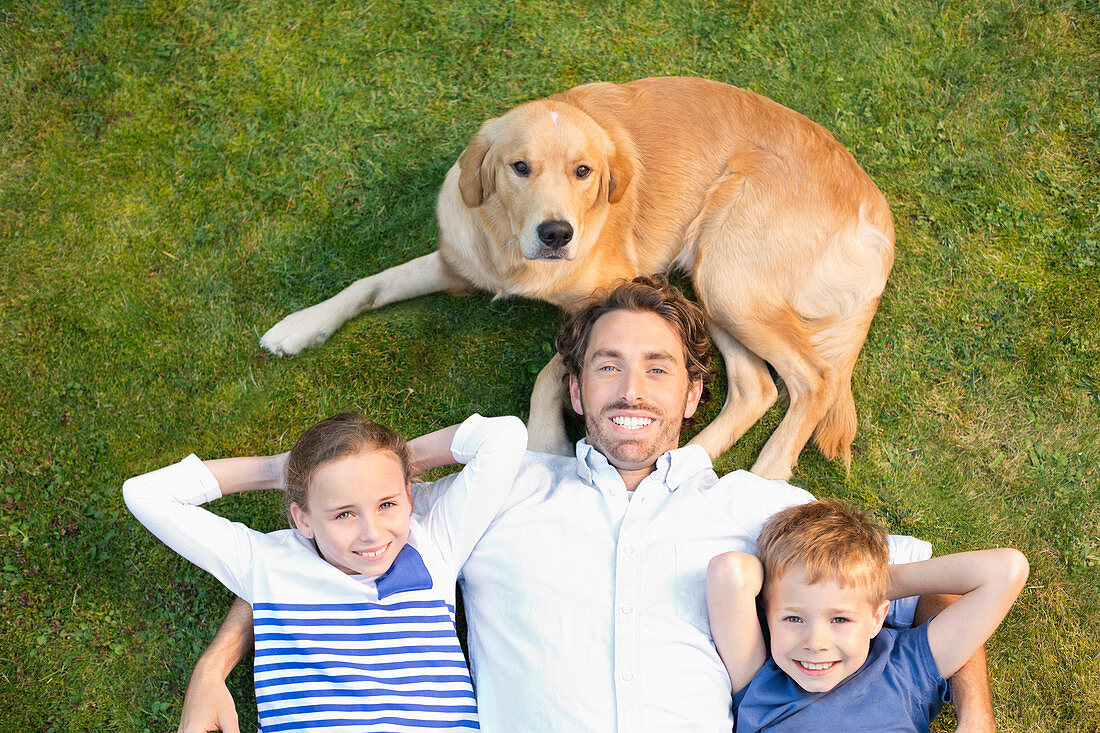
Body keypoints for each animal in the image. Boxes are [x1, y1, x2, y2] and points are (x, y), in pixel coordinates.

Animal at [259, 75, 893, 479]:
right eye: (519, 167)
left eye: (583, 171)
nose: (556, 234)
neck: (512, 252)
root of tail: (876, 213)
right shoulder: (458, 262)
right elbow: (369, 283)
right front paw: (300, 326)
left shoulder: (614, 295)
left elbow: (551, 372)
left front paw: (545, 441)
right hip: (711, 283)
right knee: (756, 387)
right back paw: (689, 462)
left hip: (727, 276)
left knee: (812, 380)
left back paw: (764, 475)